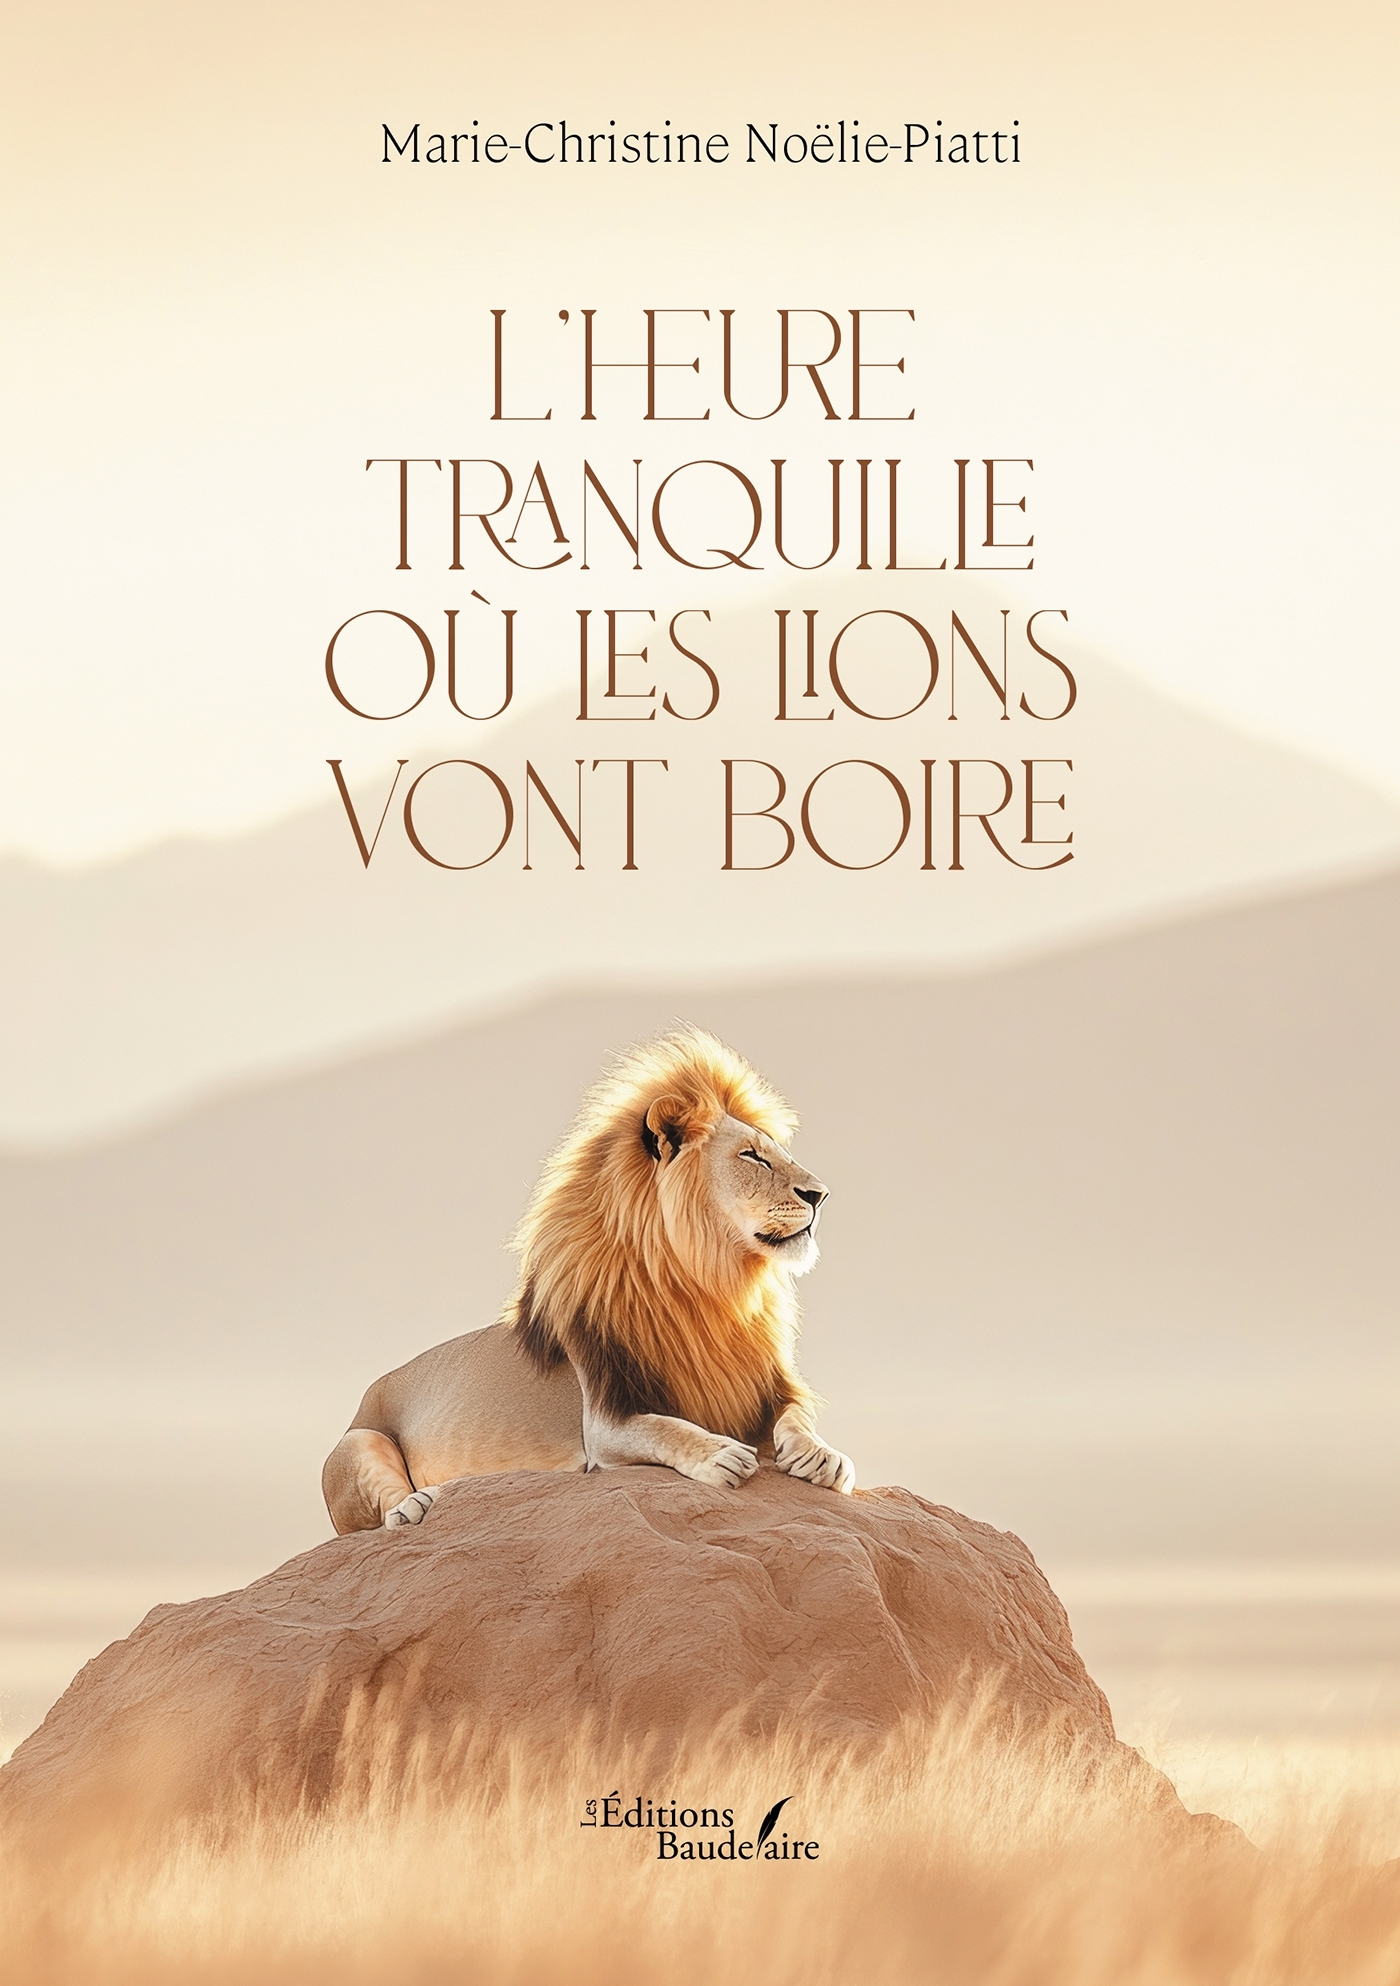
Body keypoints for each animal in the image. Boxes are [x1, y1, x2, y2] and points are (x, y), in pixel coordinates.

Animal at [322, 1028, 854, 1532]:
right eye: (752, 1157)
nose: (821, 1194)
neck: (711, 1285)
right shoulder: (603, 1421)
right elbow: (664, 1428)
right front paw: (720, 1455)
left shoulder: (768, 1387)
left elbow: (797, 1415)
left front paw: (822, 1456)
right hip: (358, 1444)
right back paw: (413, 1506)